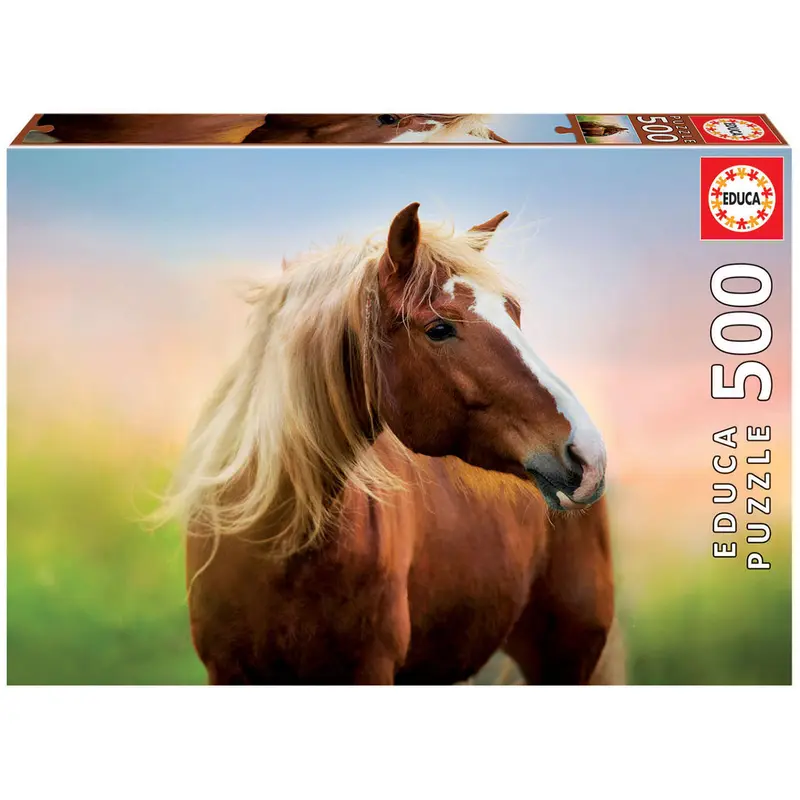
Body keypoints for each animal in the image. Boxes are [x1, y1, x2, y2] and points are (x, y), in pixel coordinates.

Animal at [166, 203, 618, 685]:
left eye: (513, 312)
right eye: (438, 329)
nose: (587, 452)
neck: (278, 545)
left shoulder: (370, 669)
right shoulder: (226, 670)